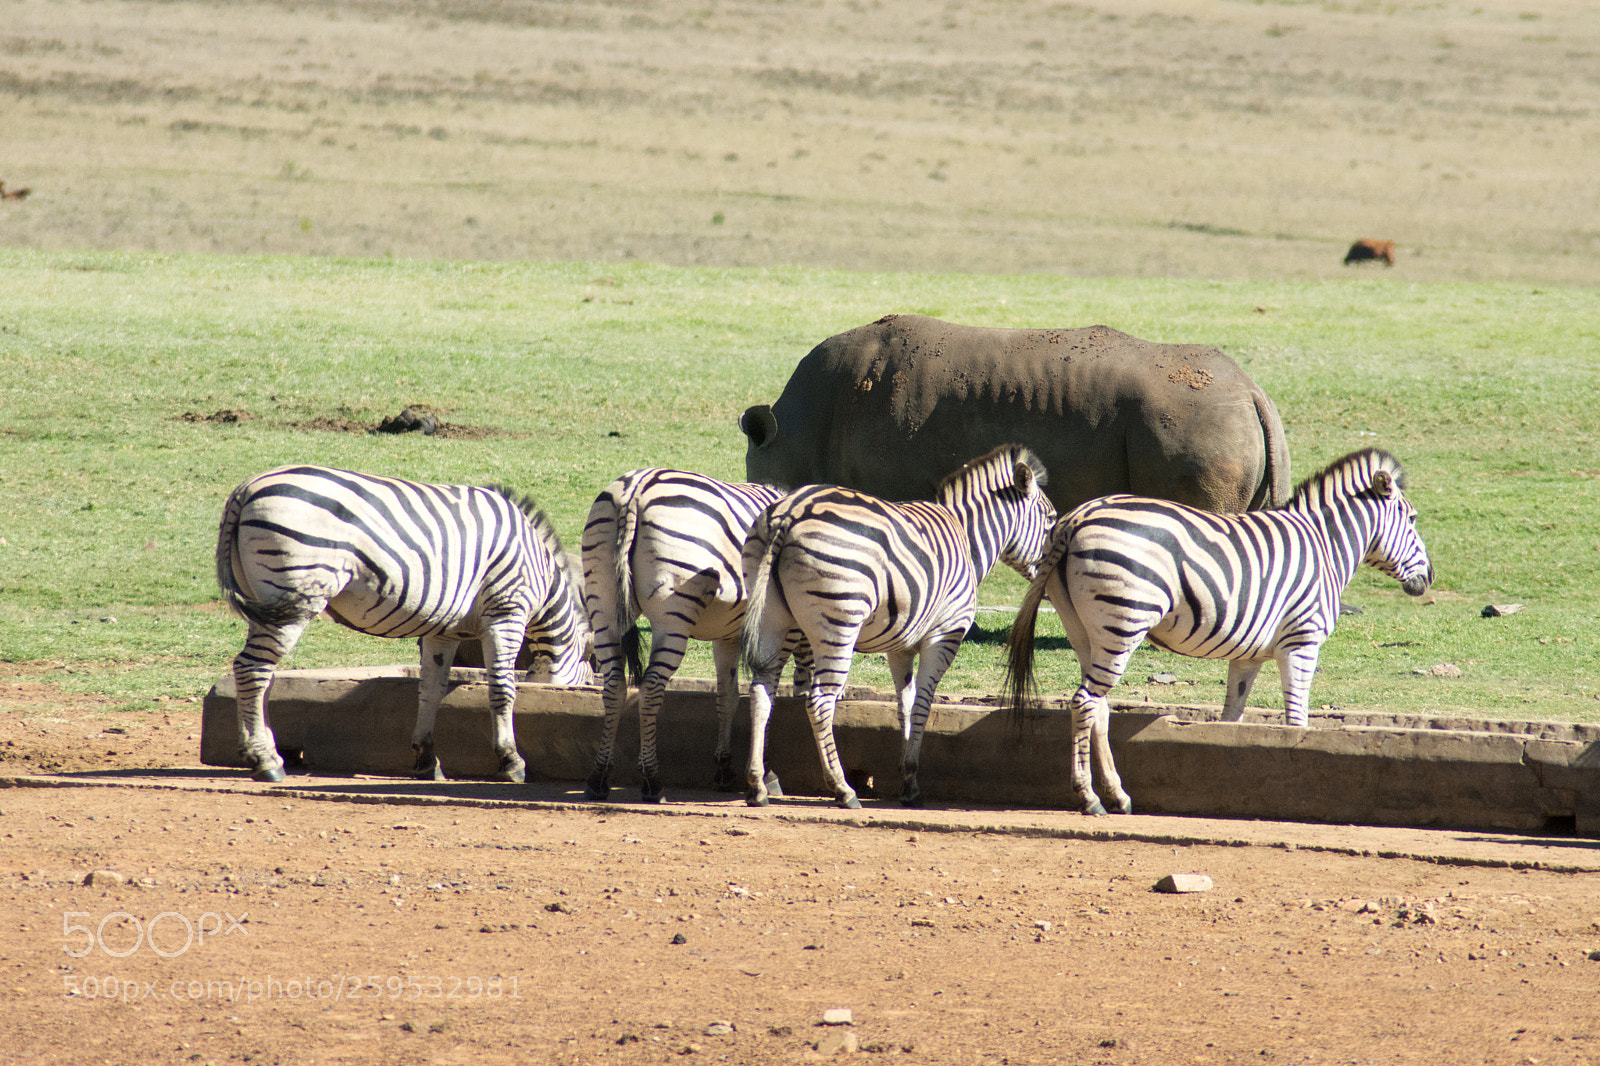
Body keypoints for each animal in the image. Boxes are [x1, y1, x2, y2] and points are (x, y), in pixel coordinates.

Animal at [215, 465, 593, 784]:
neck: (541, 573)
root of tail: (246, 490)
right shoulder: (507, 613)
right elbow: (502, 689)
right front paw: (511, 761)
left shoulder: (444, 632)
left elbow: (431, 690)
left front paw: (426, 759)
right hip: (298, 593)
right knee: (253, 668)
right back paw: (265, 762)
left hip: (267, 602)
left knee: (257, 672)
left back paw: (262, 752)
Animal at [581, 468, 810, 802]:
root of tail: (635, 490)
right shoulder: (780, 631)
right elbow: (765, 696)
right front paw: (765, 775)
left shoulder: (726, 635)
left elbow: (727, 696)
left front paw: (724, 769)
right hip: (674, 611)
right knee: (650, 688)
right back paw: (652, 780)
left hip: (604, 605)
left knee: (613, 686)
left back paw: (598, 778)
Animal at [742, 443, 1056, 809]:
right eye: (1051, 520)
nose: (1050, 583)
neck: (966, 541)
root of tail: (790, 511)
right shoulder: (944, 636)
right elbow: (922, 704)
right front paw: (911, 783)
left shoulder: (900, 646)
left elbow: (904, 706)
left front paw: (907, 776)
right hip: (840, 623)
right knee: (820, 701)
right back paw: (843, 789)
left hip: (775, 621)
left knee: (761, 690)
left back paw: (757, 786)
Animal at [1004, 447, 1433, 816]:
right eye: (1412, 519)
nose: (1428, 578)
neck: (1324, 546)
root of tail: (1077, 517)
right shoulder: (1302, 641)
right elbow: (1297, 720)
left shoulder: (1248, 655)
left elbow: (1232, 719)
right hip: (1124, 620)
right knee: (1083, 702)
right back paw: (1089, 798)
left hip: (1083, 630)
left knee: (1099, 706)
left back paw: (1117, 795)